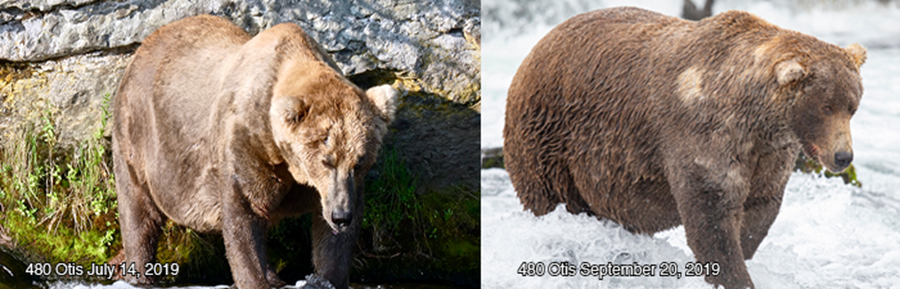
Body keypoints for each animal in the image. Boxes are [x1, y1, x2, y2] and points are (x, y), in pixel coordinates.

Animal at [110, 15, 396, 288]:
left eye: (359, 162)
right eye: (327, 161)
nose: (340, 216)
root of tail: (142, 49)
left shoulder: (334, 186)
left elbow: (334, 236)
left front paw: (328, 276)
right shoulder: (247, 144)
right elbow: (244, 213)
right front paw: (254, 279)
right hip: (139, 134)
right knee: (139, 210)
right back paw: (140, 273)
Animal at [506, 6, 864, 288]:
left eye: (852, 106)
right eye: (826, 106)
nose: (843, 156)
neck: (757, 119)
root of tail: (533, 51)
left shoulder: (769, 154)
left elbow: (759, 209)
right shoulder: (705, 134)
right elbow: (712, 215)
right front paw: (733, 276)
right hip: (550, 135)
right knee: (550, 197)